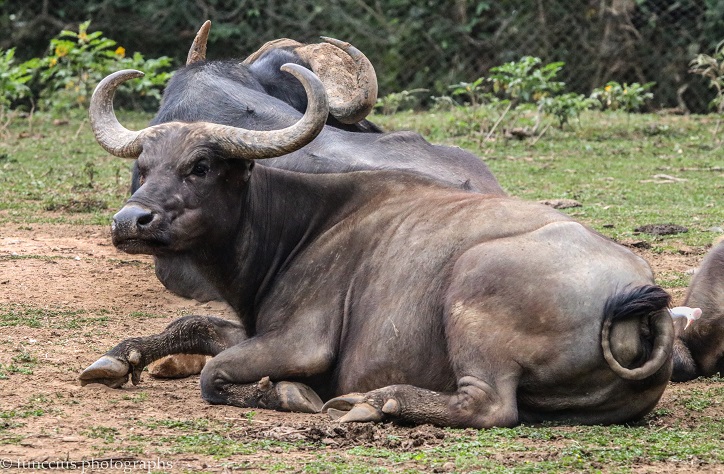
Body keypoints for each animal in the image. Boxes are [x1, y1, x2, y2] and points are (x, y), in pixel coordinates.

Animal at [82, 64, 676, 430]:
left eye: (201, 165)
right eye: (143, 167)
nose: (130, 221)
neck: (297, 228)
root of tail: (635, 291)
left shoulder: (301, 342)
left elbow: (214, 374)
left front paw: (288, 395)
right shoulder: (255, 327)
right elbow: (194, 324)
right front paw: (118, 358)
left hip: (474, 285)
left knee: (488, 406)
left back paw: (374, 402)